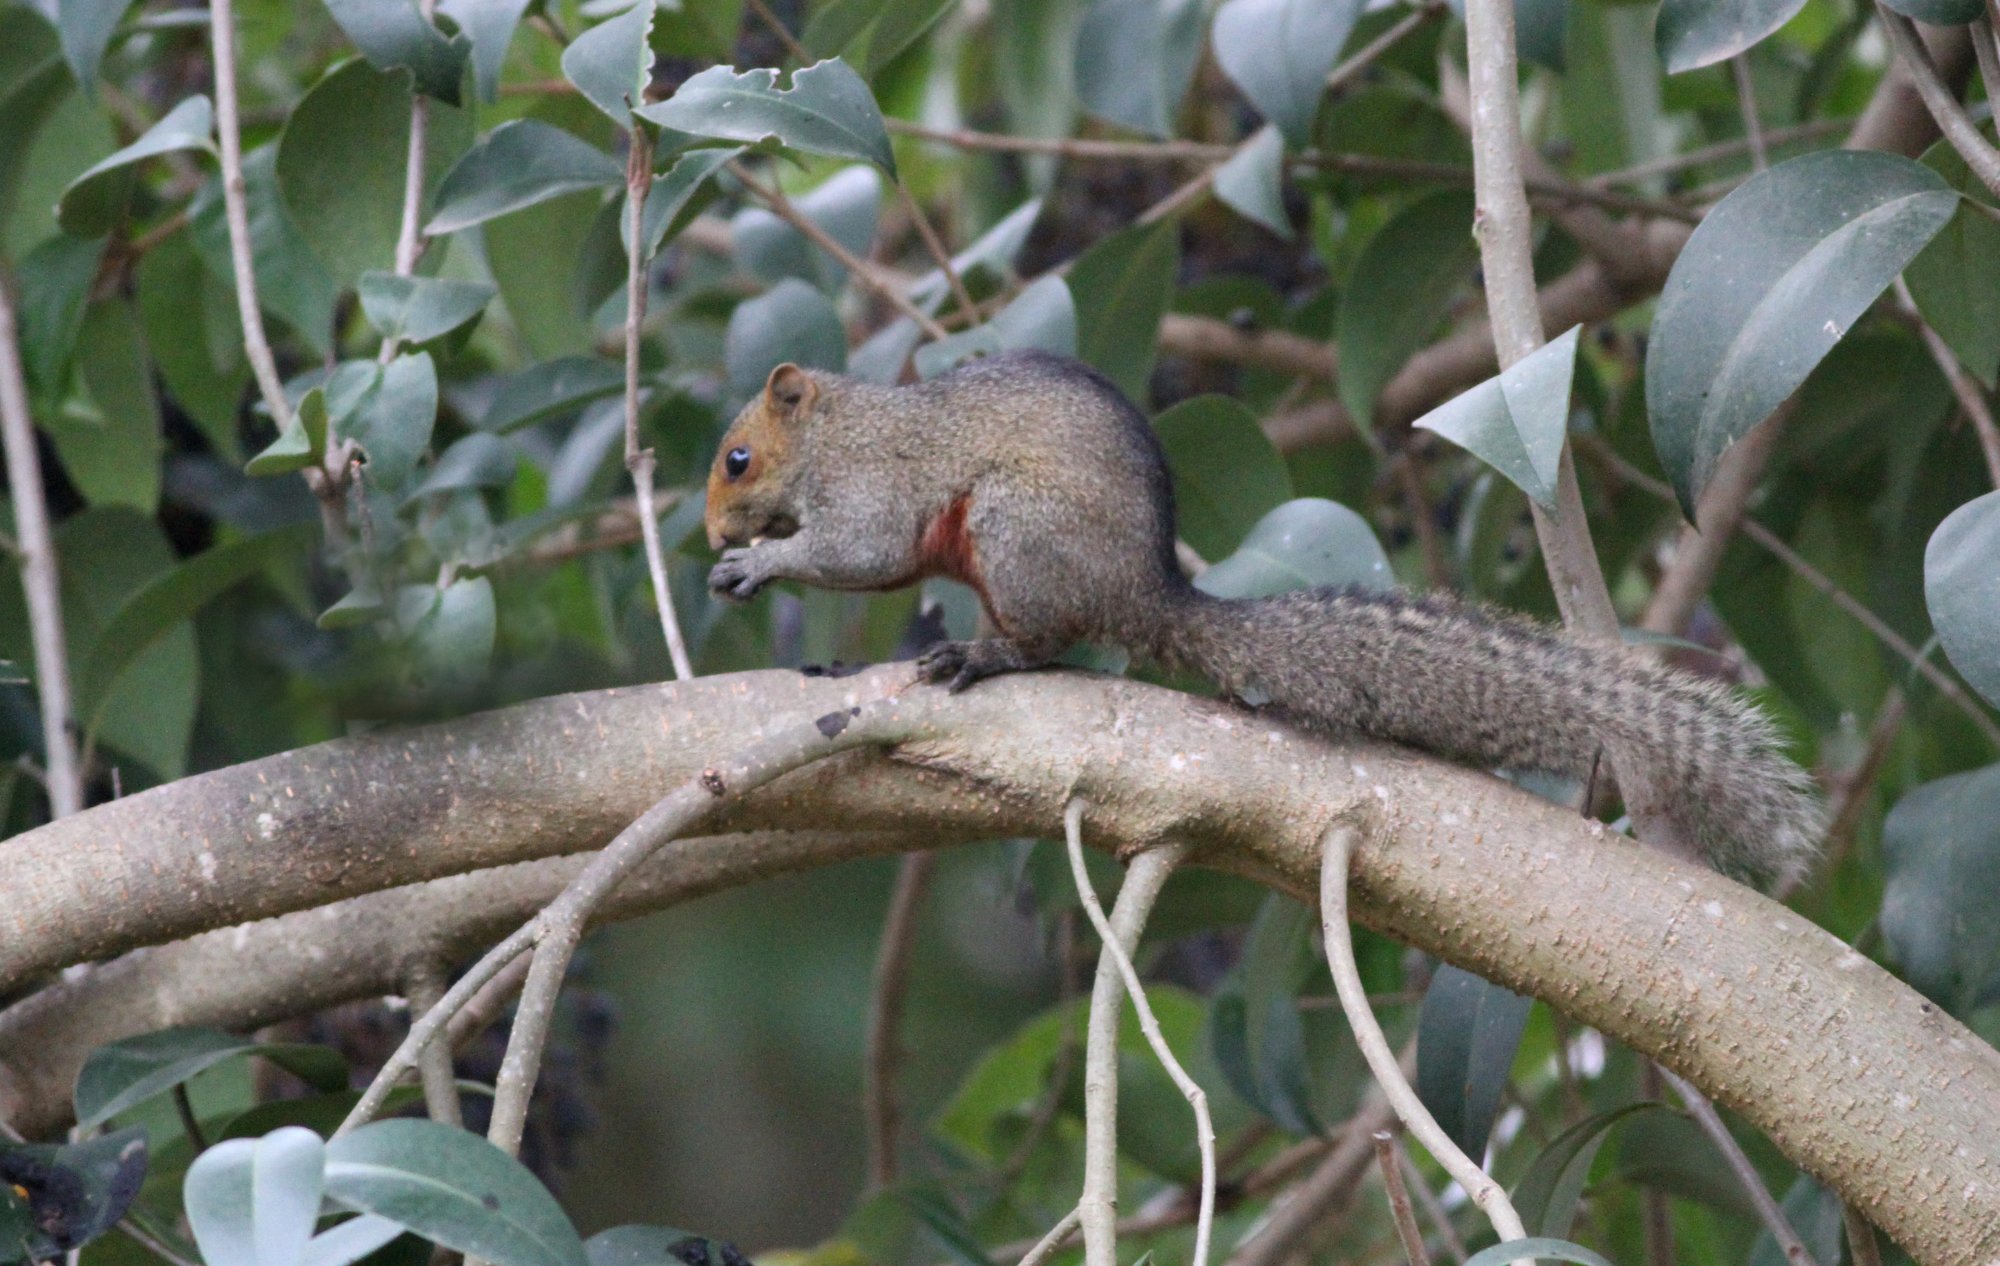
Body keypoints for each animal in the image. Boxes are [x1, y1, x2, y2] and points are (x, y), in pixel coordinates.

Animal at [703, 350, 1823, 889]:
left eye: (737, 459)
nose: (710, 525)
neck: (838, 429)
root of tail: (1145, 591)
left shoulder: (872, 488)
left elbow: (859, 553)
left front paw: (760, 561)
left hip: (1019, 531)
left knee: (1045, 640)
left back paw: (984, 654)